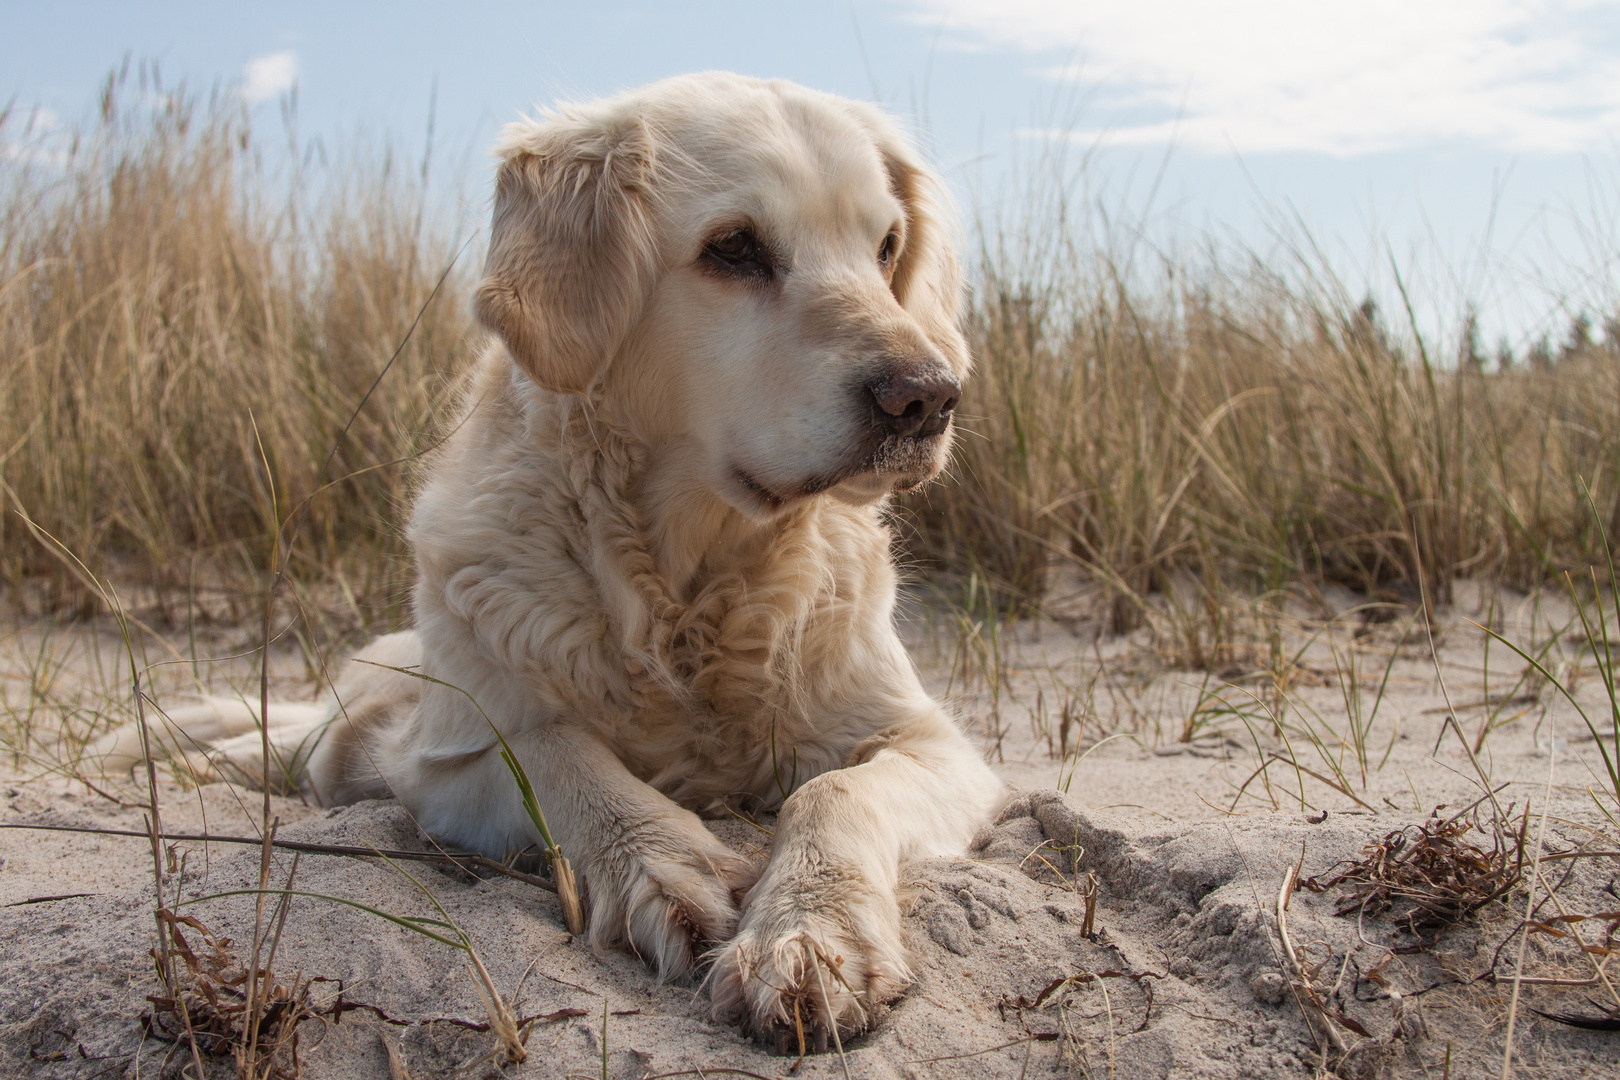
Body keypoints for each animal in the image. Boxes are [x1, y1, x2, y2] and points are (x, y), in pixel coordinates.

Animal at [91, 69, 997, 1049]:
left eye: (887, 247)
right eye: (734, 248)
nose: (928, 397)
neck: (685, 579)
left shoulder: (935, 746)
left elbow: (834, 792)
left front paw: (811, 936)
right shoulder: (442, 754)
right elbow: (556, 755)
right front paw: (662, 867)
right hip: (359, 722)